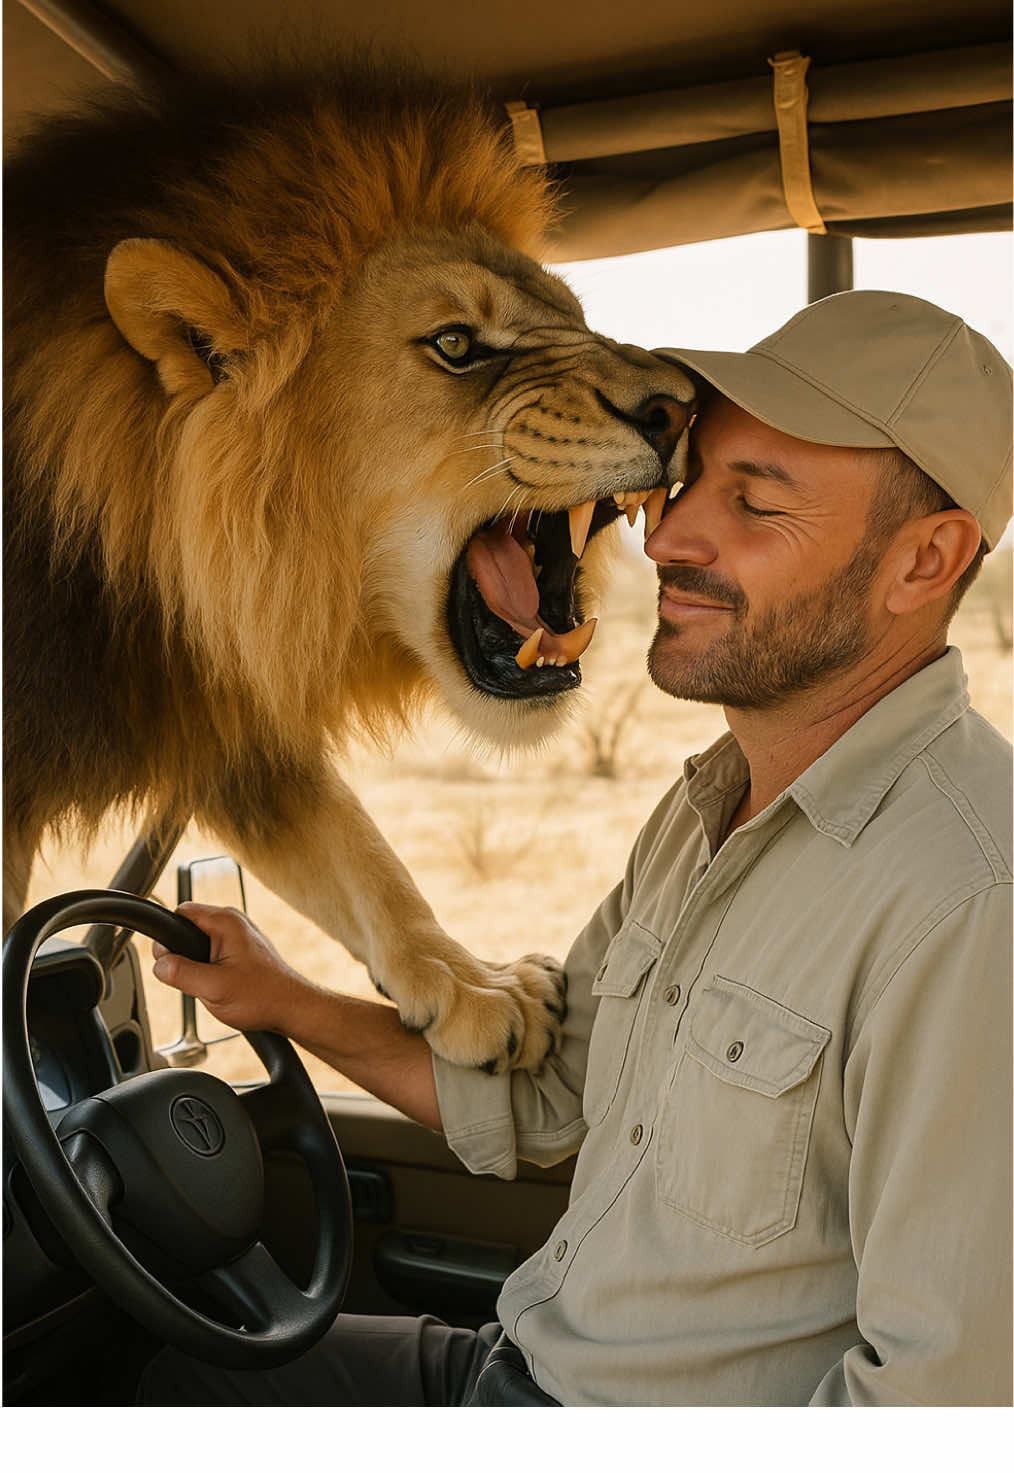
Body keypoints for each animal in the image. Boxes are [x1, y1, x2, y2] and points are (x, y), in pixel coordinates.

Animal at [3, 59, 695, 1072]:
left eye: (575, 320)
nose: (685, 406)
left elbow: (357, 848)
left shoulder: (221, 702)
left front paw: (468, 979)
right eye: (456, 344)